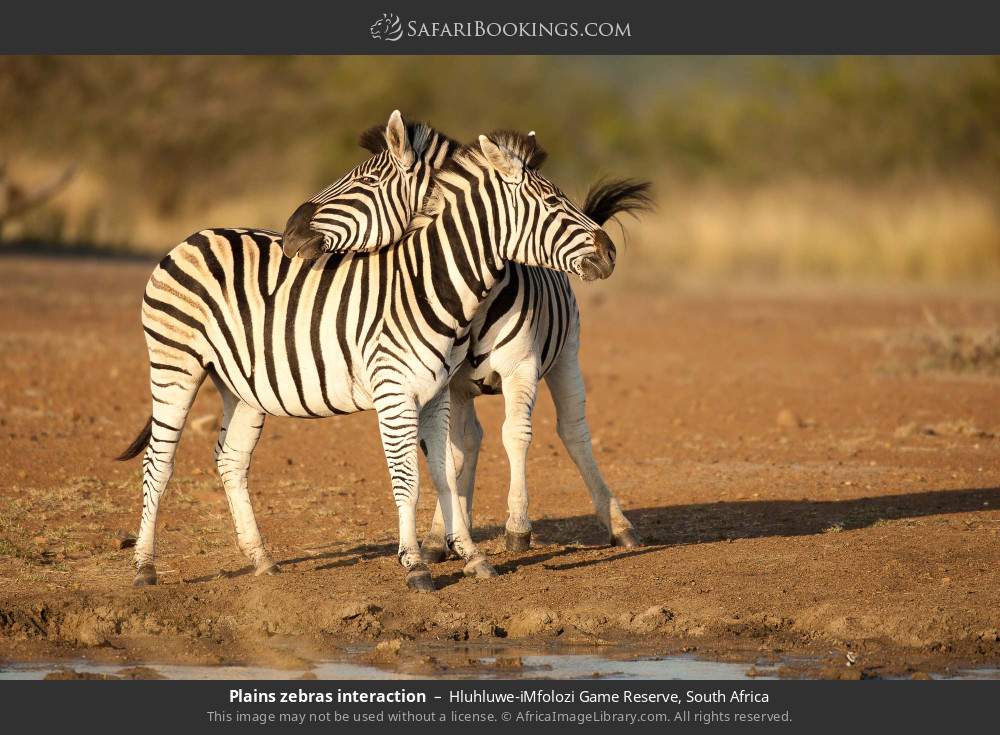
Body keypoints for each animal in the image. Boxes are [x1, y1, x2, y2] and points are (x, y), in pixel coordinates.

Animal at [118, 118, 617, 592]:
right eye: (552, 202)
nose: (610, 250)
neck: (428, 284)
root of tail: (194, 236)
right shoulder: (395, 394)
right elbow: (409, 482)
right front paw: (414, 565)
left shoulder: (437, 395)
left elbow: (444, 473)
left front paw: (471, 557)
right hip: (175, 363)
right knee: (158, 462)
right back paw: (144, 568)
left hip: (241, 385)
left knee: (231, 459)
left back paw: (261, 560)